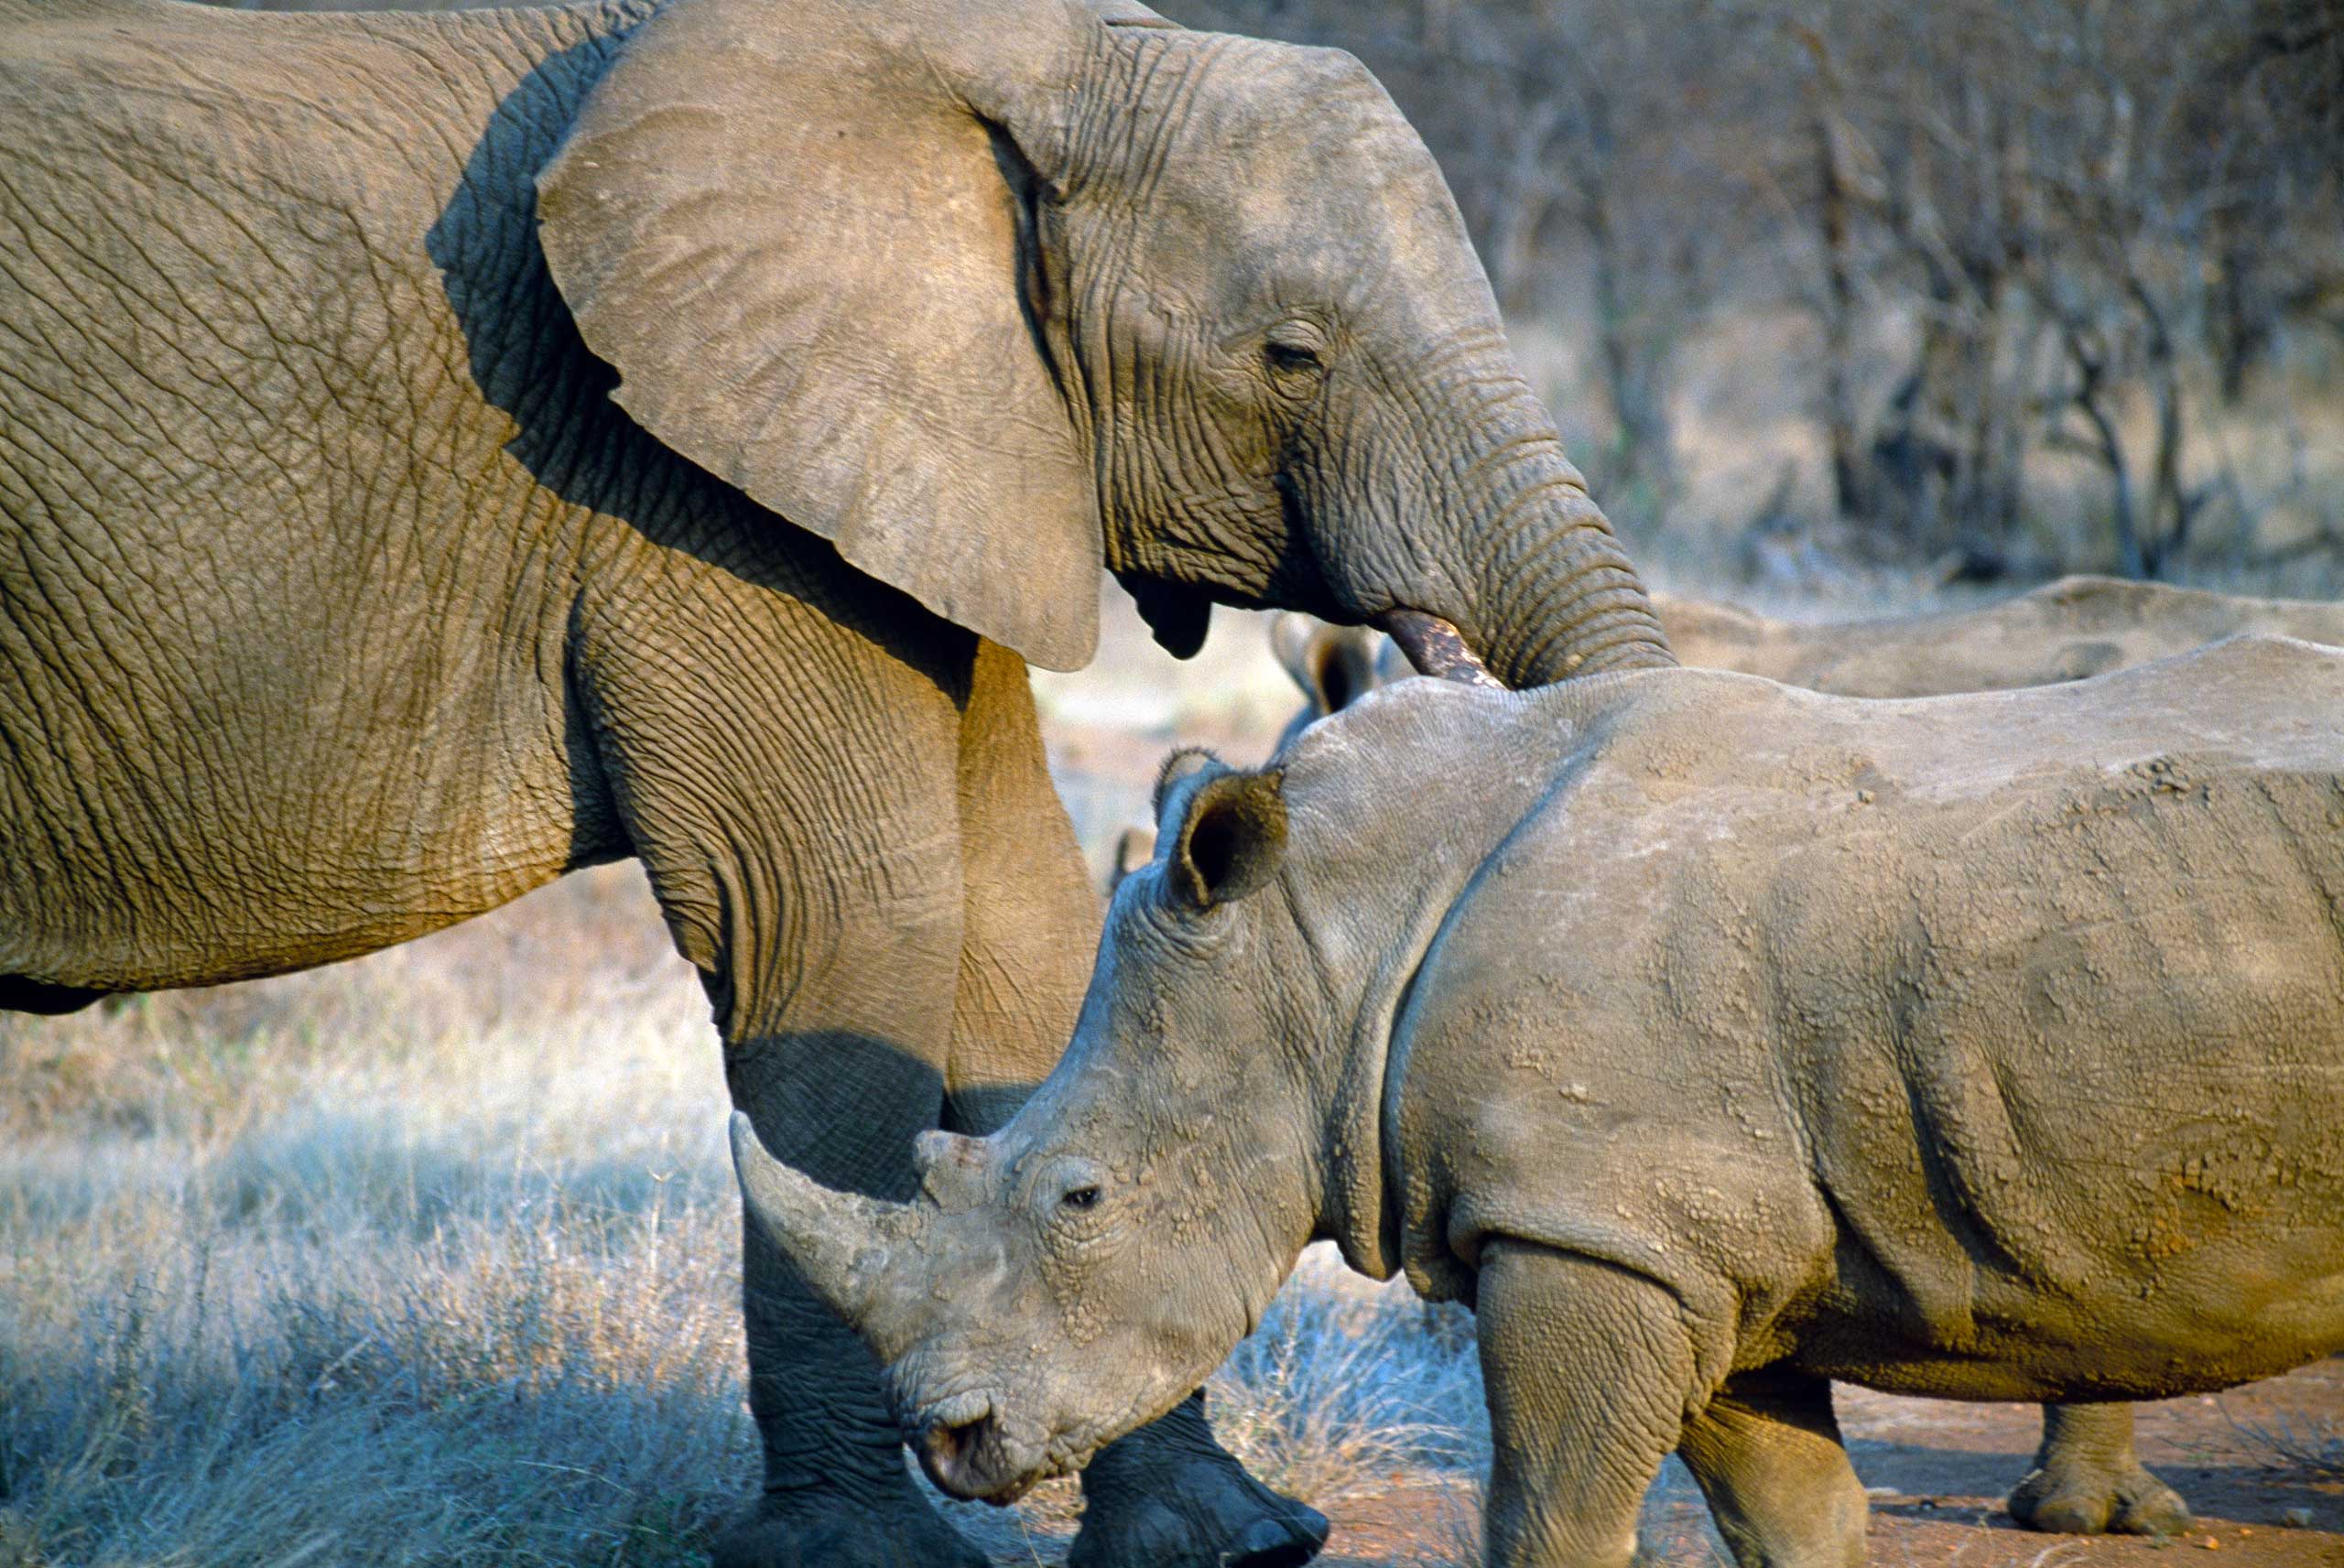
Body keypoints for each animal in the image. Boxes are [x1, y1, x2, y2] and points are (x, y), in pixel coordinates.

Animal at [0, 1, 1676, 1563]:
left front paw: (1223, 1540)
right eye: (1293, 354)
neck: (1013, 55)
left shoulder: (949, 461)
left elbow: (1021, 915)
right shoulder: (676, 478)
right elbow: (846, 923)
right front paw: (869, 1554)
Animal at [733, 632, 2344, 1568]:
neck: (1328, 943)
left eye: (1080, 1198)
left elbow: (1551, 1516)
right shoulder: (1694, 1234)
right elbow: (1793, 1516)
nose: (946, 1439)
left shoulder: (1589, 1226)